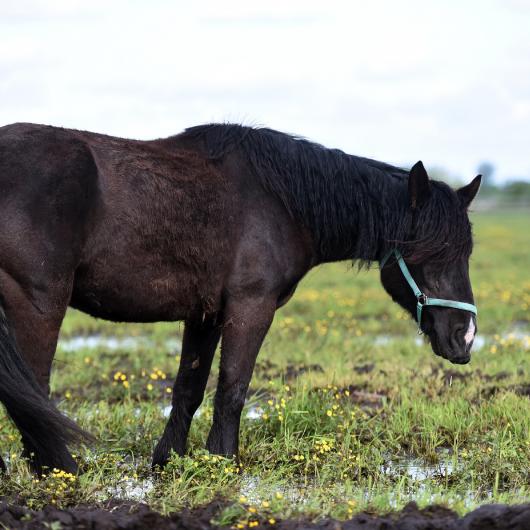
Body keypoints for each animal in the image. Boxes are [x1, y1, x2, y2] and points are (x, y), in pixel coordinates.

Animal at [0, 120, 478, 474]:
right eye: (429, 252)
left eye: (466, 251)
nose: (466, 337)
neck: (282, 201)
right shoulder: (251, 307)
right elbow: (233, 387)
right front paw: (223, 461)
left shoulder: (205, 314)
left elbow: (189, 388)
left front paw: (168, 461)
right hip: (39, 303)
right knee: (32, 390)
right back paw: (58, 470)